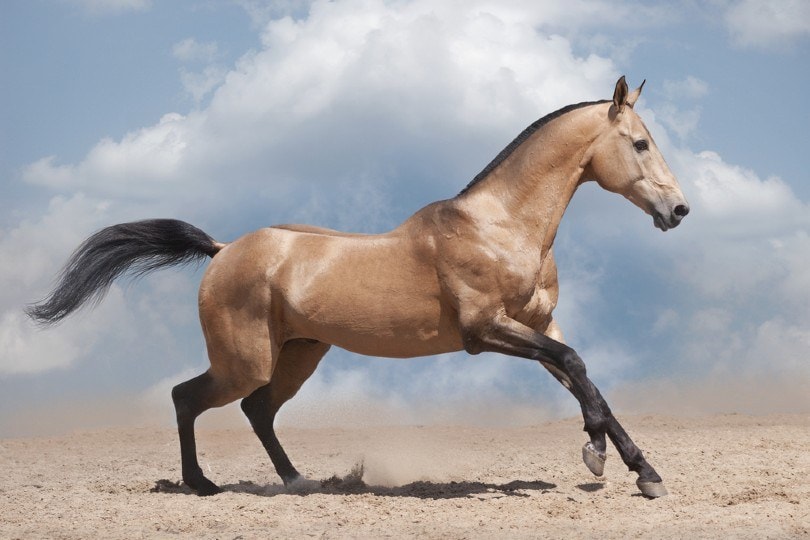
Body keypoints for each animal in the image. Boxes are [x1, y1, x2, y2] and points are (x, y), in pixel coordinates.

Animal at [28, 76, 689, 498]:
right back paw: (201, 485)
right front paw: (603, 458)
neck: (500, 227)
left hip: (298, 355)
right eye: (640, 143)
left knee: (256, 410)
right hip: (246, 360)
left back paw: (297, 482)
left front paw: (636, 469)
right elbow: (577, 367)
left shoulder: (537, 325)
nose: (678, 210)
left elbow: (586, 379)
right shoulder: (486, 332)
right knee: (187, 397)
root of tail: (222, 251)